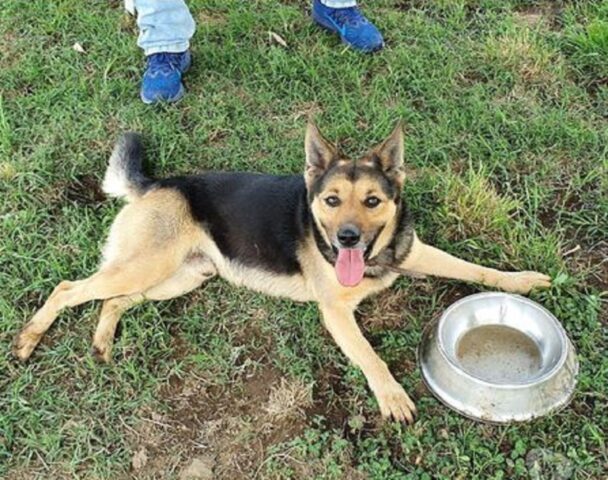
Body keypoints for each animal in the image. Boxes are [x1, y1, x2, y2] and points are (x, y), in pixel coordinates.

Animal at [13, 124, 552, 424]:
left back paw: (102, 340)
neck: (373, 257)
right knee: (69, 287)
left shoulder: (414, 253)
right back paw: (28, 338)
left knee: (112, 300)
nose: (348, 239)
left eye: (372, 201)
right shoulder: (336, 314)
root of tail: (154, 183)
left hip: (180, 276)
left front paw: (522, 280)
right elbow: (372, 358)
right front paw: (392, 397)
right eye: (331, 201)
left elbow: (477, 268)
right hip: (147, 265)